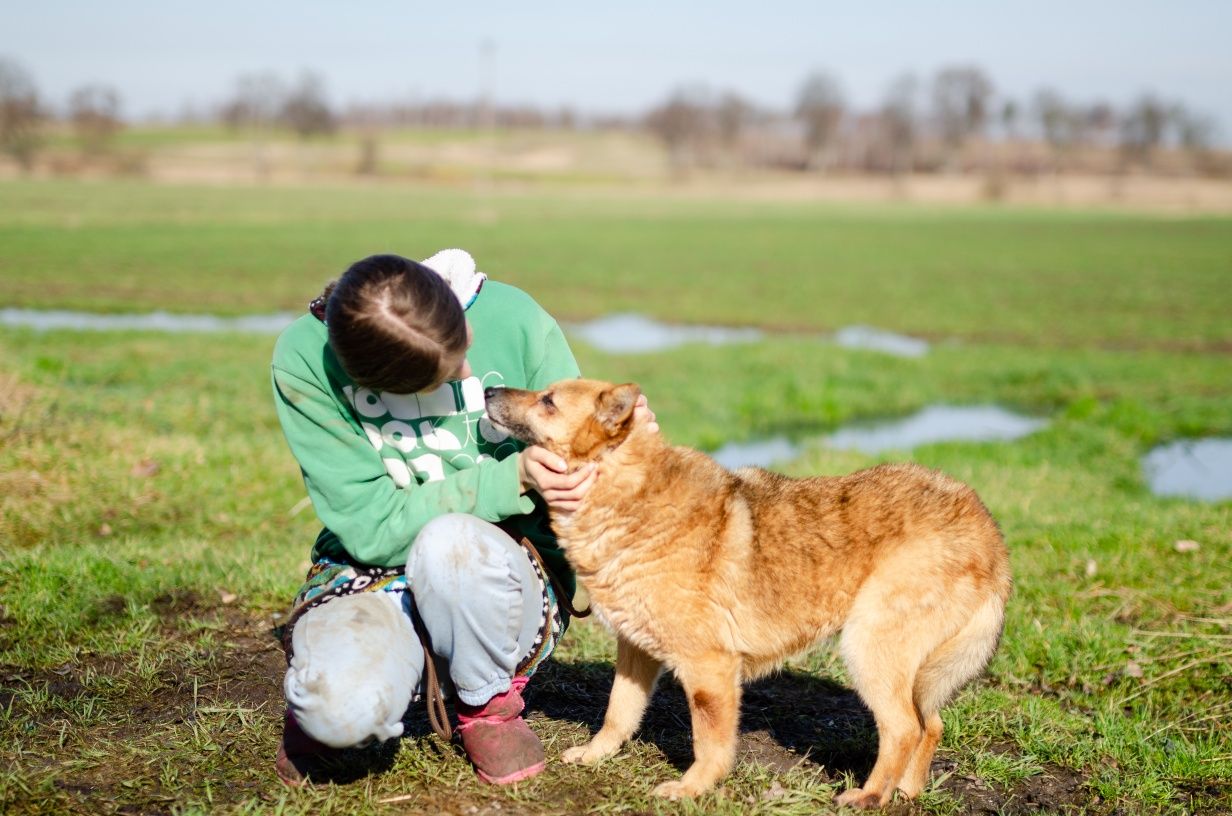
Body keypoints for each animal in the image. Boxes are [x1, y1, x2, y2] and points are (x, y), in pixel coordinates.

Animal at [480, 379, 1010, 808]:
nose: (488, 390)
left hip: (870, 647)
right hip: (908, 664)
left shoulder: (710, 667)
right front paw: (595, 756)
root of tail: (989, 533)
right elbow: (617, 714)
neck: (627, 495)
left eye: (548, 400)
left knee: (903, 728)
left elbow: (709, 743)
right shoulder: (636, 650)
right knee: (931, 724)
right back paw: (906, 792)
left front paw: (691, 789)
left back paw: (869, 796)